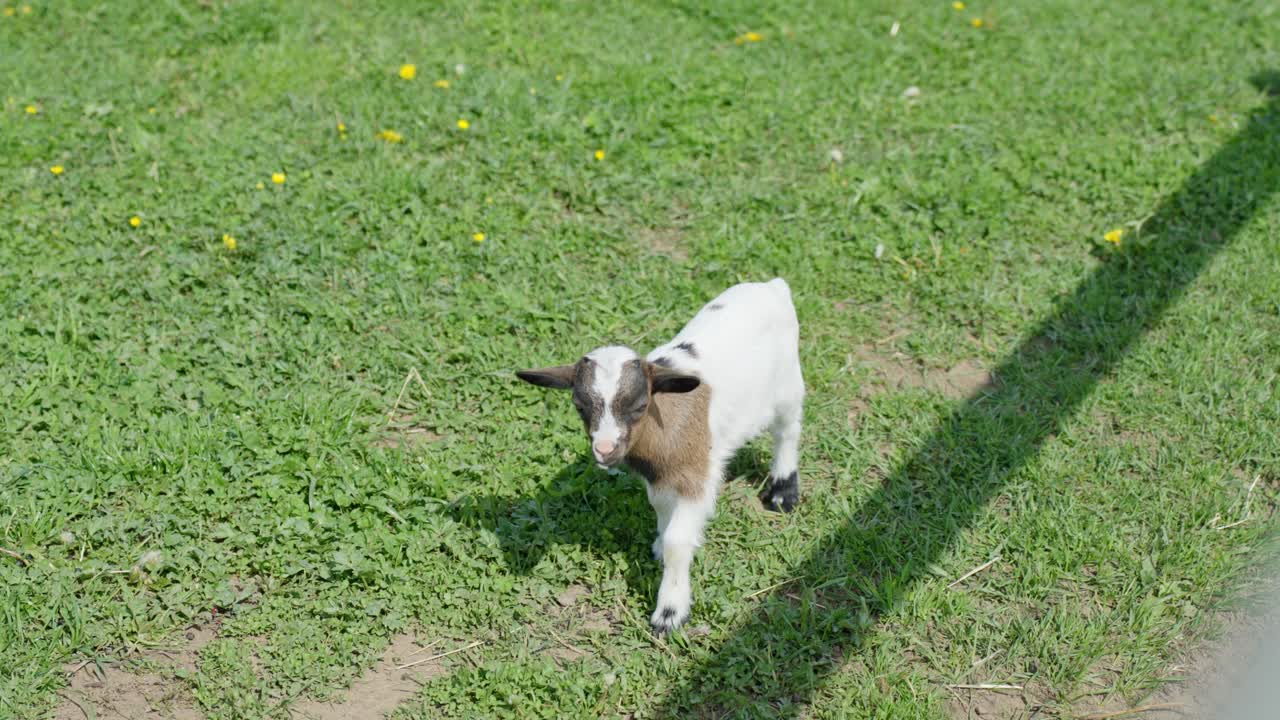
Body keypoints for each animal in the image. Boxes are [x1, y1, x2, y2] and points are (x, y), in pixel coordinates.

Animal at [516, 278, 805, 634]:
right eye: (579, 406)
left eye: (640, 405)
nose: (605, 450)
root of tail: (772, 285)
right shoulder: (660, 479)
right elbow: (662, 513)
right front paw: (658, 546)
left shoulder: (696, 476)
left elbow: (677, 540)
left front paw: (670, 611)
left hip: (788, 382)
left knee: (787, 430)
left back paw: (782, 492)